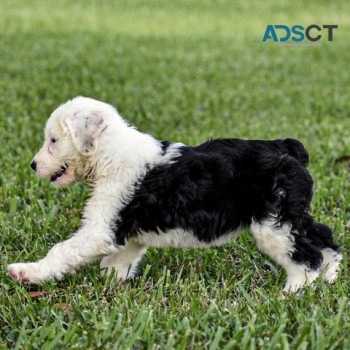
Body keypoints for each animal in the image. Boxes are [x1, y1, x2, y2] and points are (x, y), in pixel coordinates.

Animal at [7, 95, 342, 290]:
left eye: (53, 140)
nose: (33, 165)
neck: (109, 152)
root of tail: (287, 148)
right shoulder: (126, 232)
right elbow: (119, 260)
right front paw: (112, 284)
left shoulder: (102, 228)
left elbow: (62, 251)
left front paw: (27, 272)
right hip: (291, 214)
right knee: (322, 237)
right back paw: (330, 276)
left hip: (273, 224)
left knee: (306, 255)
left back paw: (293, 292)